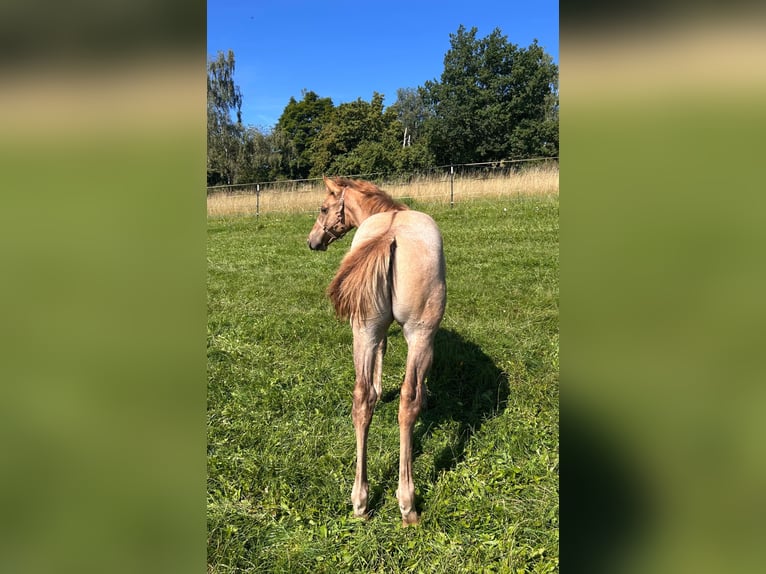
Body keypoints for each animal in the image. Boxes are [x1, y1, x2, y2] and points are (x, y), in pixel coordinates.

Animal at [308, 176, 446, 526]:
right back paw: (407, 503)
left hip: (363, 331)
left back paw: (360, 500)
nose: (312, 242)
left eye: (323, 208)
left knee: (361, 399)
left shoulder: (375, 330)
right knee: (407, 402)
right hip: (420, 333)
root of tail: (390, 234)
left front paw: (379, 389)